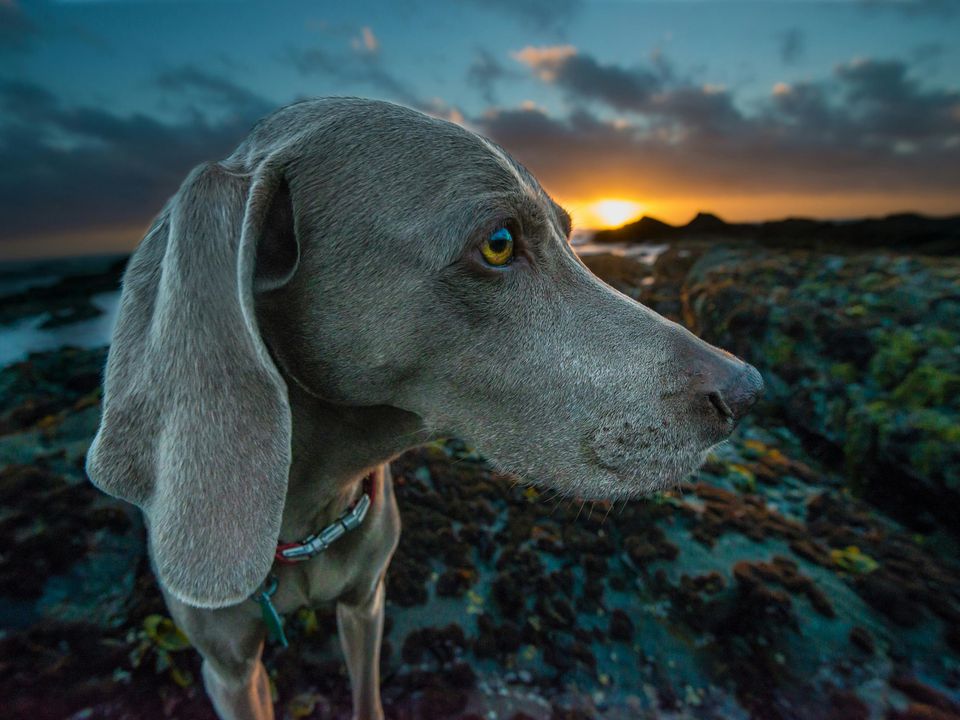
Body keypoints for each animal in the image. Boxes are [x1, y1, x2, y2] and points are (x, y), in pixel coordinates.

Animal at [88, 97, 764, 720]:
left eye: (571, 237)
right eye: (499, 243)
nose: (747, 389)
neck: (307, 519)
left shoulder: (367, 602)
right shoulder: (230, 670)